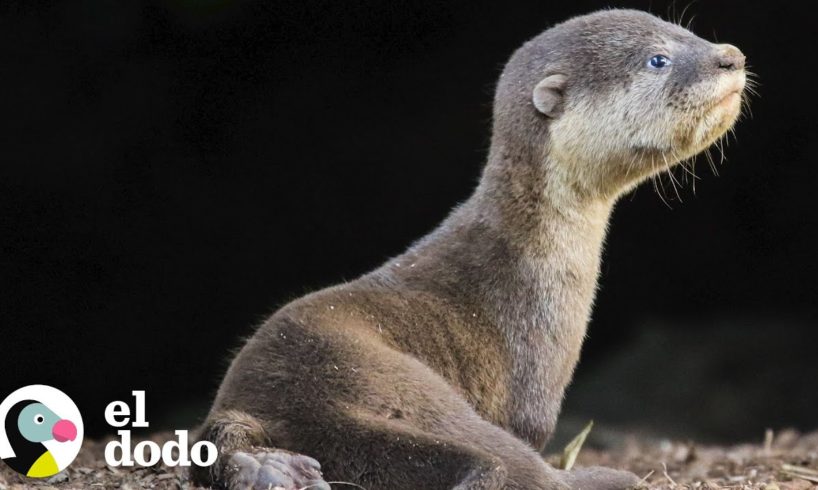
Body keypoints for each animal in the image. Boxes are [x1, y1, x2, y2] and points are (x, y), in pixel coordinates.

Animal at [191, 8, 744, 490]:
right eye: (658, 60)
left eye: (687, 31)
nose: (731, 56)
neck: (529, 255)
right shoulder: (531, 364)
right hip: (395, 381)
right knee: (512, 467)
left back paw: (271, 472)